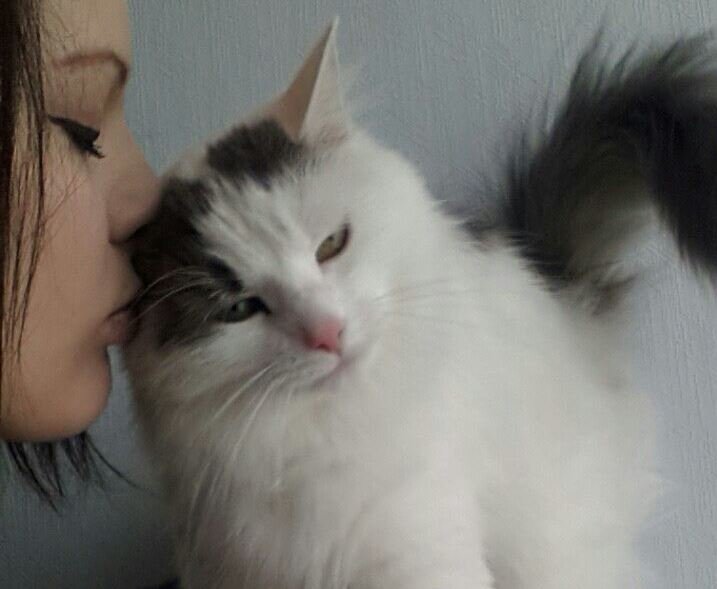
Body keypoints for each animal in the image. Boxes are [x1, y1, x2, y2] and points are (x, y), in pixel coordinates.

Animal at [126, 20, 717, 589]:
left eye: (331, 245)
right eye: (240, 309)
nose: (327, 331)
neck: (312, 445)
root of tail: (551, 279)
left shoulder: (418, 541)